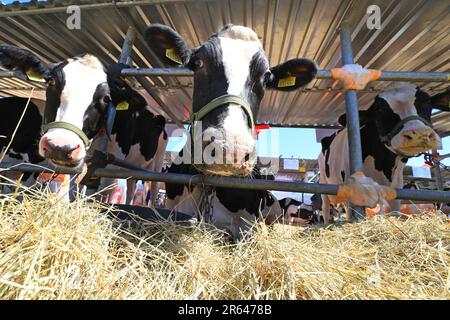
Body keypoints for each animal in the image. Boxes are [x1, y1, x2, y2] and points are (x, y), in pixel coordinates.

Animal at [318, 82, 450, 222]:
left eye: (427, 102)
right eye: (380, 110)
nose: (419, 133)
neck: (382, 165)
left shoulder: (396, 188)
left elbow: (394, 213)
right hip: (323, 183)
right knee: (326, 208)